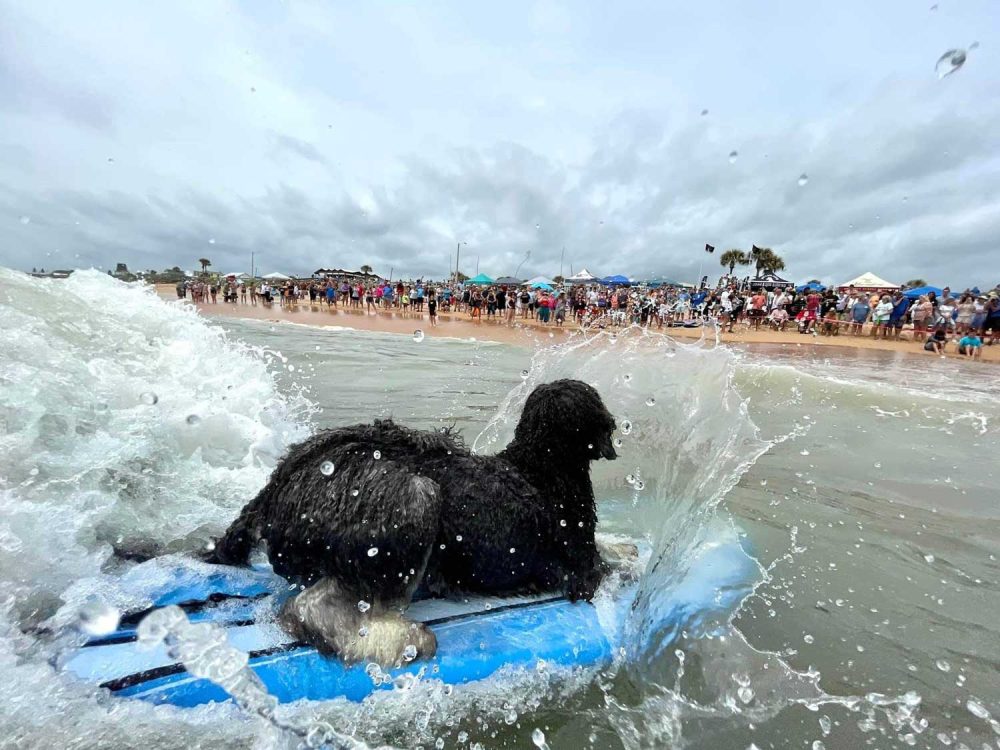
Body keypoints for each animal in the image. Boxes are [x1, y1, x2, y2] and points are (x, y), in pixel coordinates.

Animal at [215, 382, 612, 664]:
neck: (539, 468)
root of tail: (278, 484)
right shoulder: (581, 564)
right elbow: (600, 569)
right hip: (414, 497)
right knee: (312, 608)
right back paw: (403, 641)